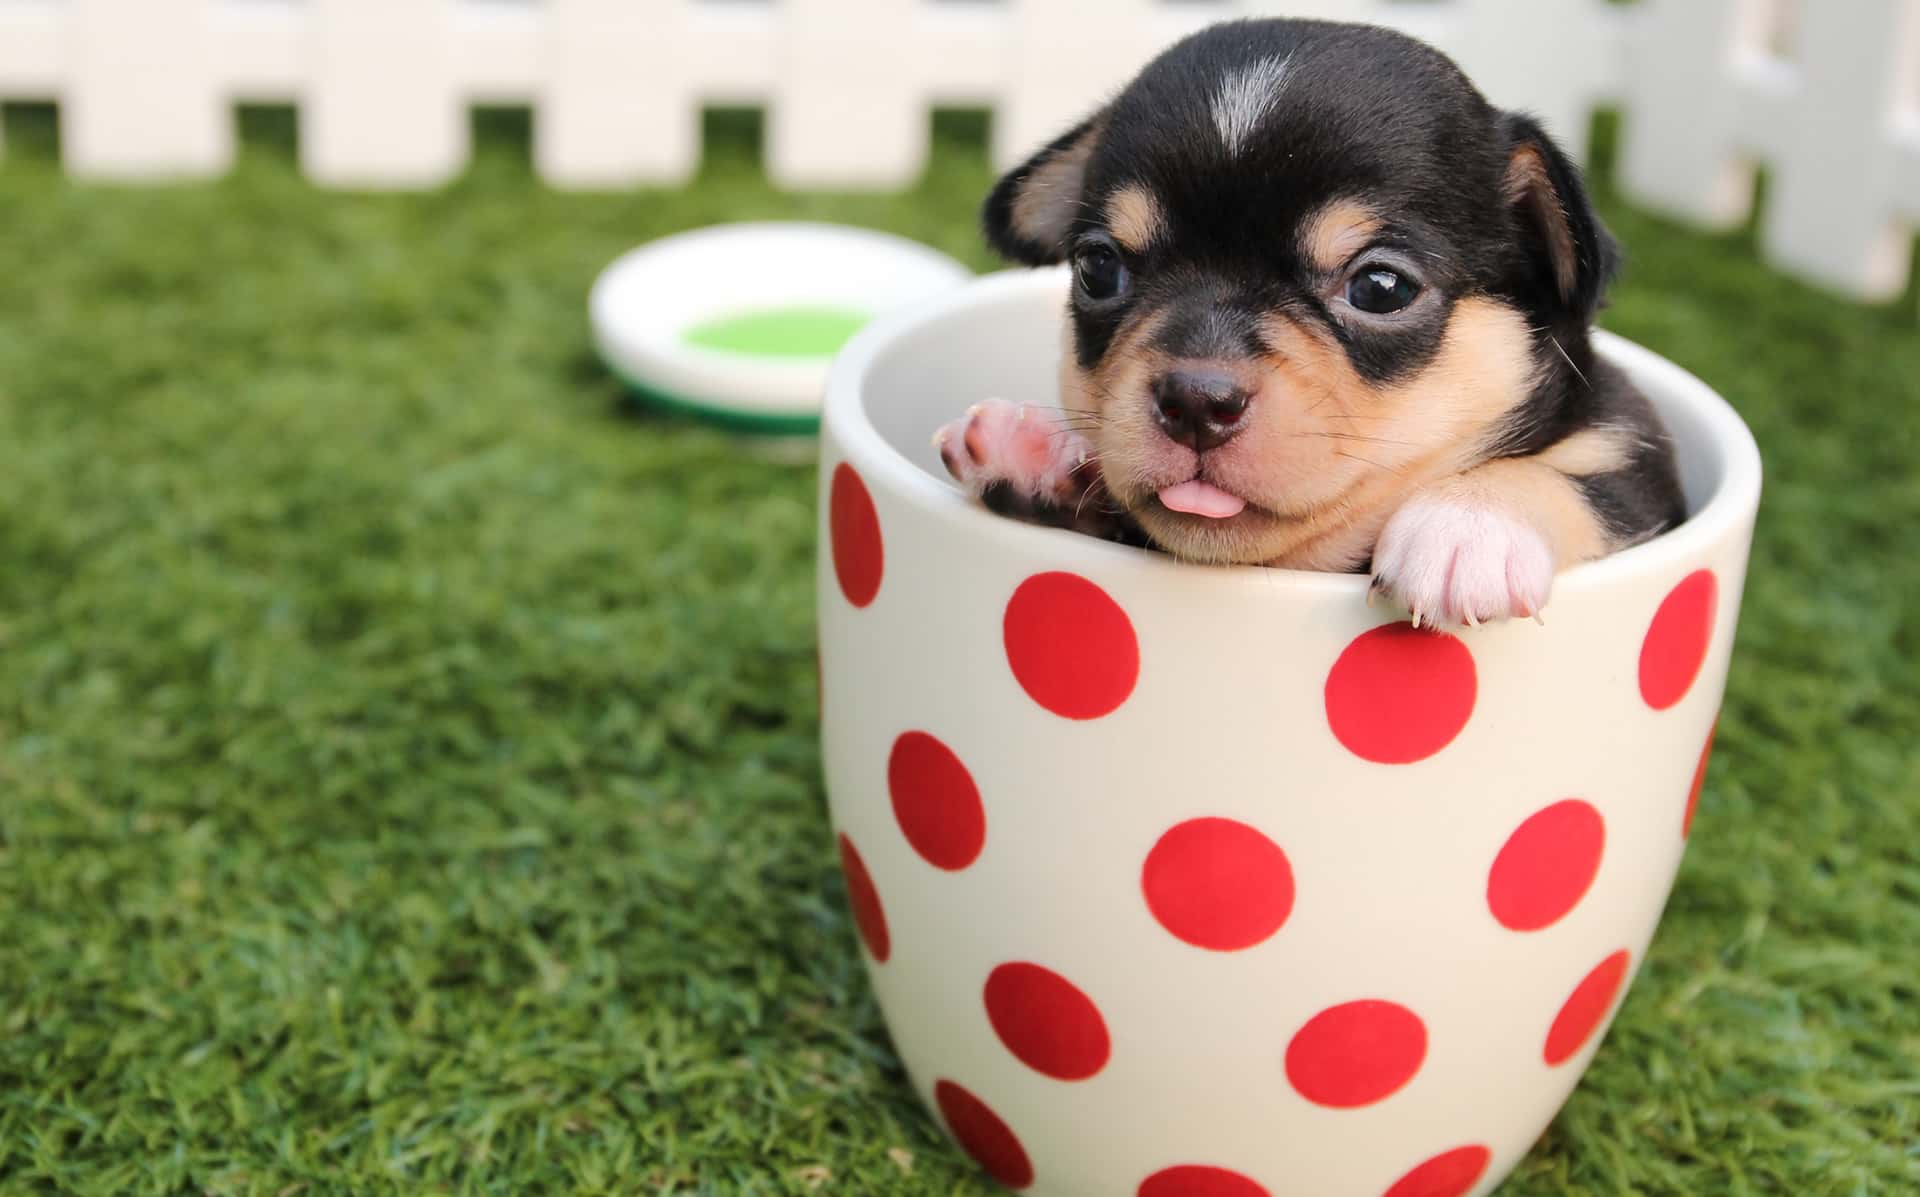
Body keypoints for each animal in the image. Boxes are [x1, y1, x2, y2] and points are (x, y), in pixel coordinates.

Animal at [940, 18, 1681, 626]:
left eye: (1380, 288)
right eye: (1098, 268)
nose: (1195, 400)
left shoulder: (1639, 462)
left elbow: (1580, 478)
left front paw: (1467, 525)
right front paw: (1033, 447)